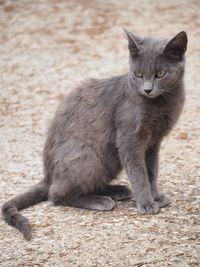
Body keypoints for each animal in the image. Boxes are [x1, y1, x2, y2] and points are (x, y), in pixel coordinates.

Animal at [1, 29, 188, 241]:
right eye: (138, 74)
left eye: (161, 74)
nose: (147, 89)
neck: (162, 103)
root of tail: (48, 176)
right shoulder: (130, 141)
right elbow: (139, 175)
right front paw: (147, 203)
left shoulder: (153, 143)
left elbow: (151, 172)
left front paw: (156, 197)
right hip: (87, 155)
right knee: (56, 195)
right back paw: (101, 200)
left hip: (109, 160)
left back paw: (117, 191)